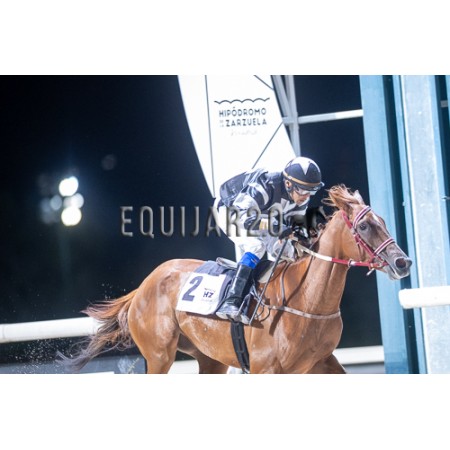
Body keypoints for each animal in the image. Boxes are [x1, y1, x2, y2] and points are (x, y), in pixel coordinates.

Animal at [60, 185, 412, 374]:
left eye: (383, 221)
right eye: (364, 226)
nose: (402, 262)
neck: (307, 300)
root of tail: (143, 287)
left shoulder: (322, 362)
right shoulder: (265, 368)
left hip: (209, 359)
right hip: (159, 355)